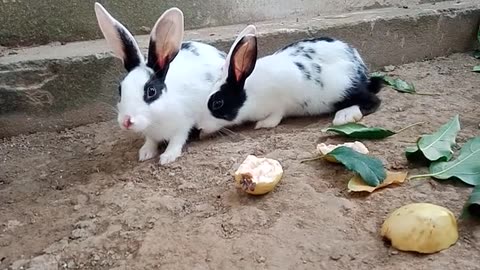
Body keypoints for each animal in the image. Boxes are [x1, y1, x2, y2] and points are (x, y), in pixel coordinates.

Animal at [96, 3, 228, 165]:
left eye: (151, 91)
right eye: (120, 89)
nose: (126, 121)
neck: (155, 120)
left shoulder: (183, 124)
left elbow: (177, 140)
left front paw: (167, 157)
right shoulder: (151, 134)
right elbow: (151, 141)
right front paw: (145, 153)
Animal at [198, 25, 382, 135]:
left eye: (217, 103)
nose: (199, 127)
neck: (250, 93)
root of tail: (359, 65)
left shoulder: (280, 102)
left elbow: (276, 116)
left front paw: (263, 124)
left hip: (343, 88)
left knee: (372, 100)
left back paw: (344, 116)